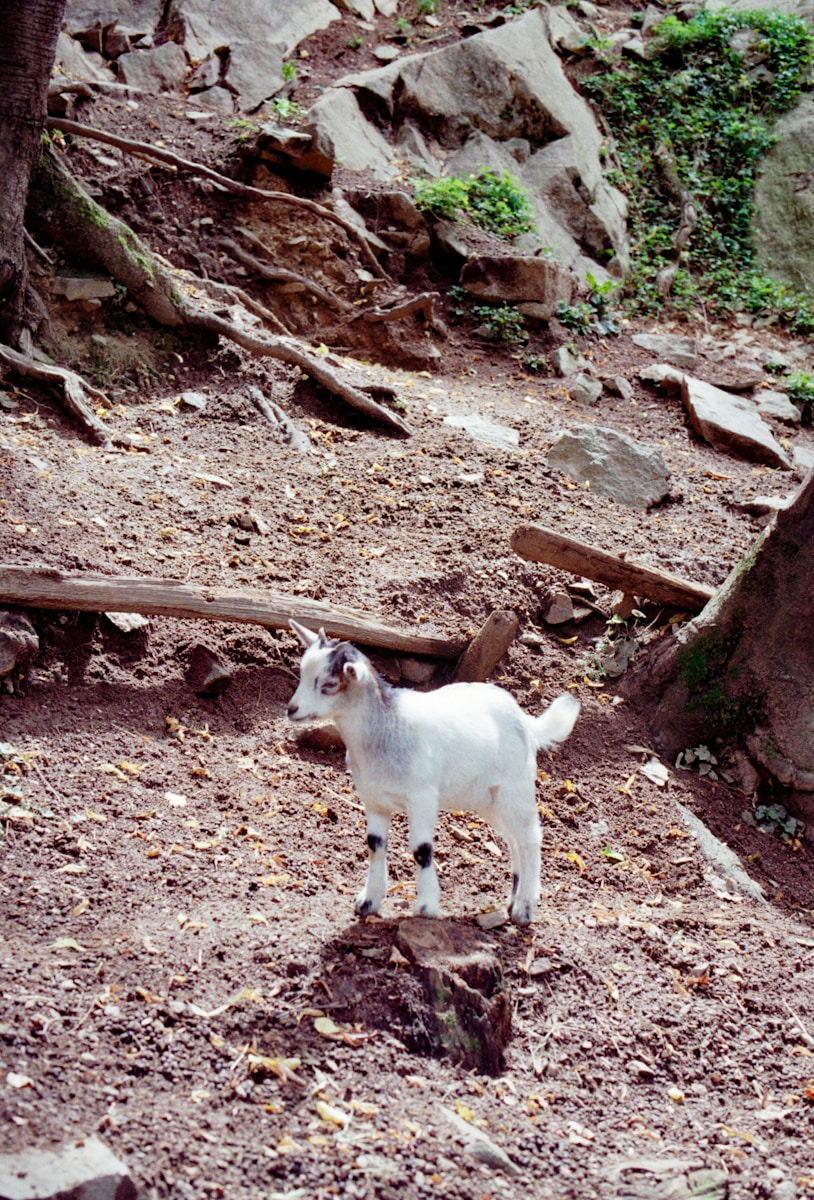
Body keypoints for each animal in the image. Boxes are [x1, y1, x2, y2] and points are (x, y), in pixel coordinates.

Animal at [287, 621, 579, 924]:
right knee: (513, 840)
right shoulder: (374, 800)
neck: (386, 728)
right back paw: (512, 901)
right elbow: (375, 845)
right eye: (302, 674)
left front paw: (426, 908)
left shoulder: (422, 797)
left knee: (530, 837)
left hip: (516, 787)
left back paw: (524, 909)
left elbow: (421, 849)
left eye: (329, 685)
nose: (292, 710)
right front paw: (368, 902)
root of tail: (524, 720)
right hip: (489, 799)